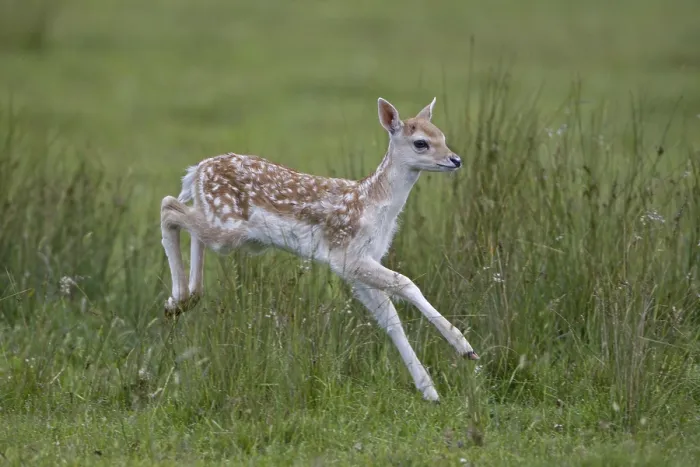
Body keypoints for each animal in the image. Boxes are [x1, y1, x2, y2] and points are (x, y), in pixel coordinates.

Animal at [160, 97, 479, 402]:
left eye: (442, 135)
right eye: (421, 142)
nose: (456, 159)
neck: (374, 205)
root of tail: (197, 170)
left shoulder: (359, 266)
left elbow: (390, 319)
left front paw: (430, 391)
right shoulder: (347, 256)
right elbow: (406, 283)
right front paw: (465, 348)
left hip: (226, 229)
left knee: (187, 221)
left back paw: (183, 300)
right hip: (228, 229)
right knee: (169, 207)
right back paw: (177, 299)